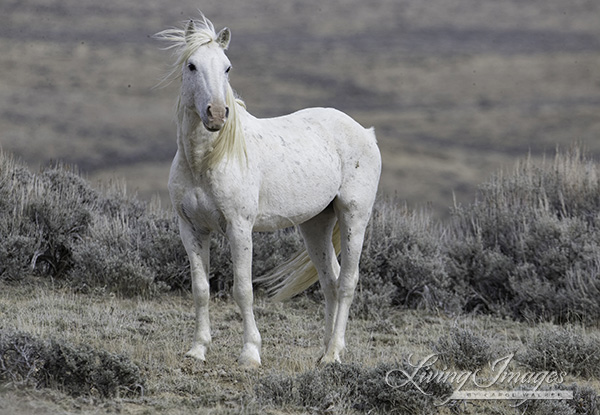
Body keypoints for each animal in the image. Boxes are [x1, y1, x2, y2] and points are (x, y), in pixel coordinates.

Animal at [155, 13, 380, 370]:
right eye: (191, 65)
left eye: (227, 67)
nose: (216, 114)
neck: (208, 160)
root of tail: (365, 132)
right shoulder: (191, 229)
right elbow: (200, 288)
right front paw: (198, 349)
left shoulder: (239, 228)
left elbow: (243, 289)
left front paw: (250, 352)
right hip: (316, 224)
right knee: (330, 281)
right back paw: (324, 352)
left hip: (353, 217)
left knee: (346, 282)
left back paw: (333, 354)